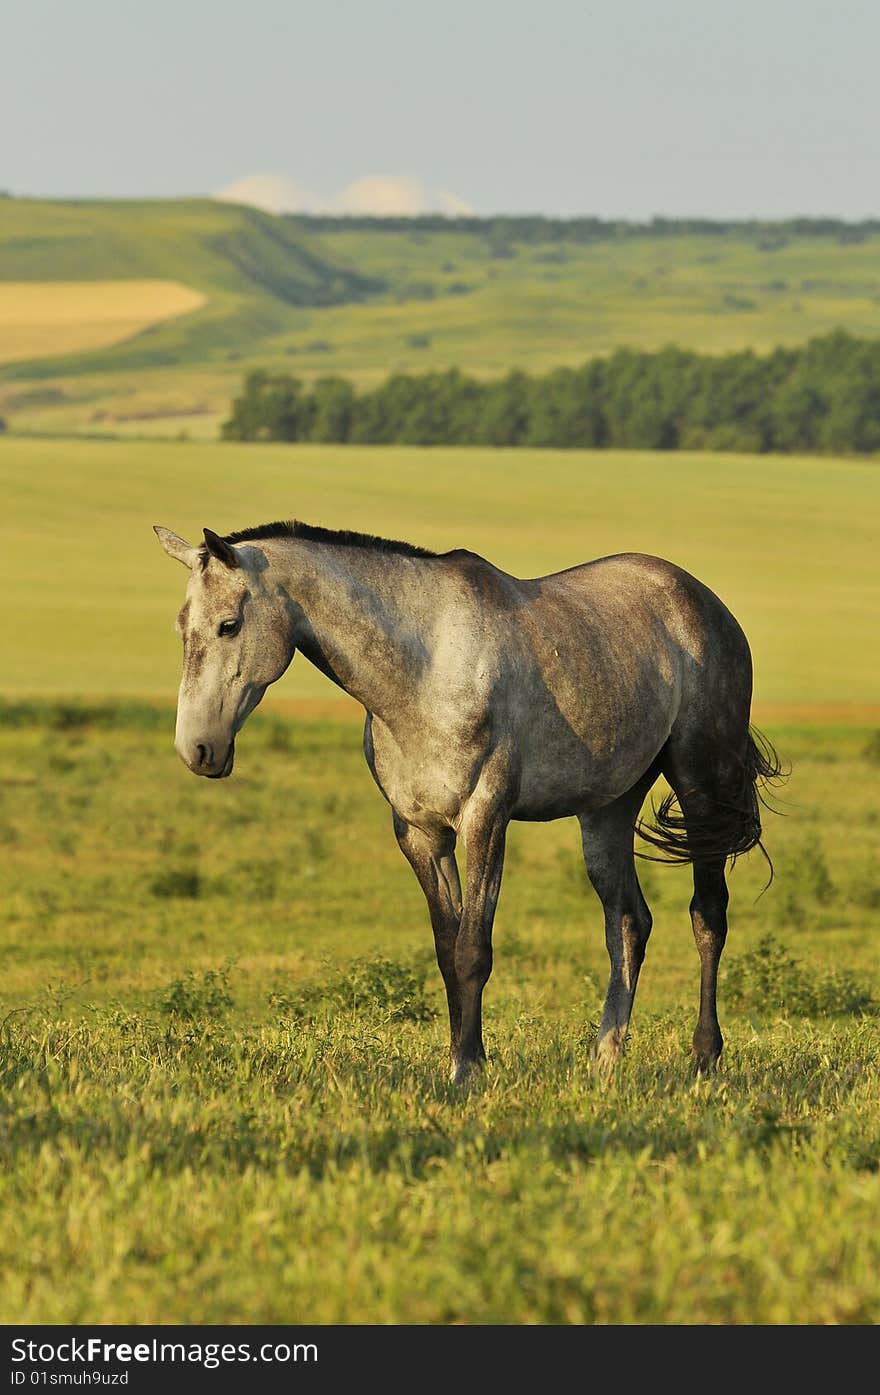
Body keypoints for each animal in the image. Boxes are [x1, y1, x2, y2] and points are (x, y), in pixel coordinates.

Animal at [154, 524, 780, 1076]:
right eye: (181, 627)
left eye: (229, 625)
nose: (197, 749)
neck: (423, 669)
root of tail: (703, 602)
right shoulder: (420, 834)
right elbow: (446, 949)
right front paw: (459, 1060)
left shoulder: (484, 819)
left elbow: (473, 951)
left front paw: (470, 1072)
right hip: (608, 807)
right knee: (628, 922)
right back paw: (605, 1059)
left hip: (700, 786)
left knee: (707, 916)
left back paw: (704, 1059)